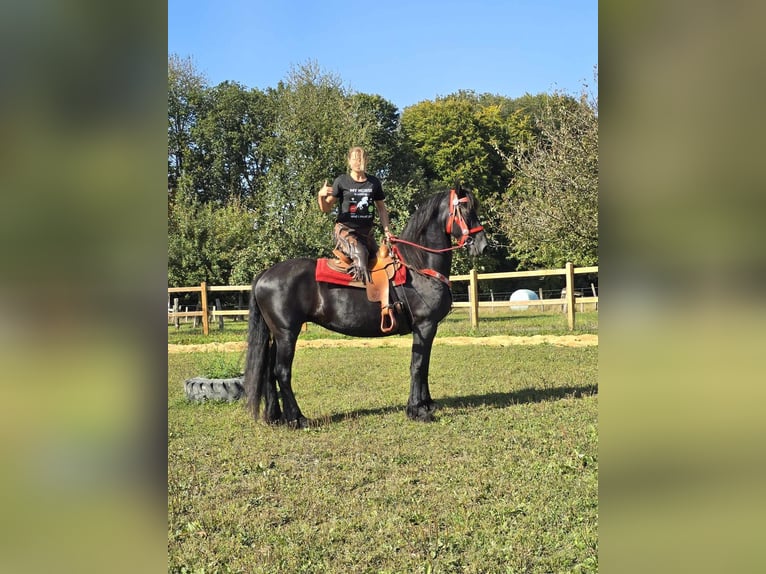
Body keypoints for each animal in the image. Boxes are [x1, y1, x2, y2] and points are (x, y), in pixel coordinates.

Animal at [243, 184, 488, 428]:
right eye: (465, 209)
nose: (483, 245)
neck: (418, 266)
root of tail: (266, 274)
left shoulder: (427, 329)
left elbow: (424, 366)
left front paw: (426, 404)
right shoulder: (425, 326)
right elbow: (417, 366)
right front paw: (417, 410)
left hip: (278, 335)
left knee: (269, 372)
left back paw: (276, 417)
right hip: (287, 333)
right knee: (282, 372)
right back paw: (298, 418)